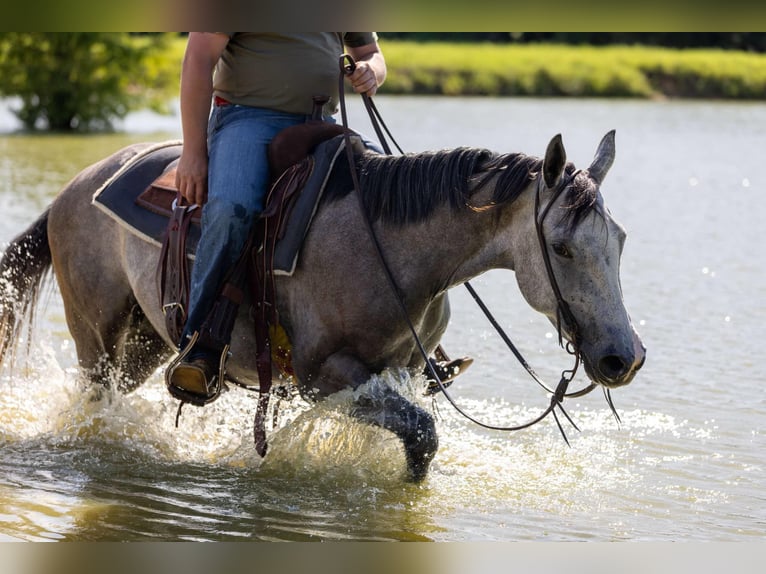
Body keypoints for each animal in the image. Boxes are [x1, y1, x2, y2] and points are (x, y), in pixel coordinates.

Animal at [0, 130, 645, 481]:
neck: (388, 242)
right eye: (561, 247)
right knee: (93, 401)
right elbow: (424, 434)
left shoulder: (398, 371)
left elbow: (419, 441)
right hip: (96, 339)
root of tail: (76, 185)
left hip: (146, 344)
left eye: (620, 241)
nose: (625, 358)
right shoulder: (324, 376)